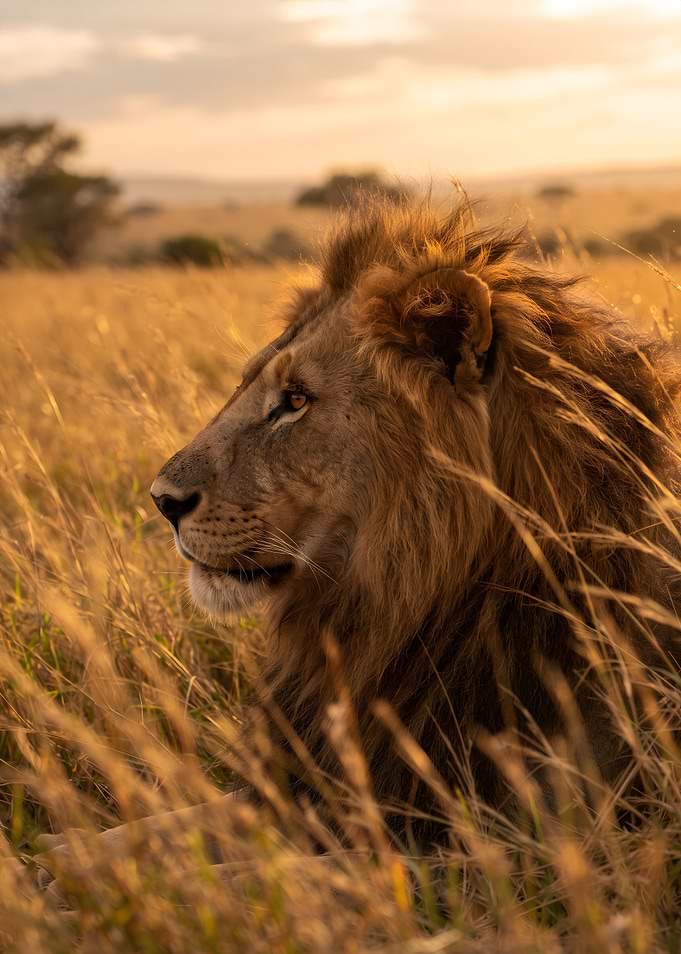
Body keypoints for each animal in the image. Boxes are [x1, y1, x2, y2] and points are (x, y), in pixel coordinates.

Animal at [36, 193, 681, 883]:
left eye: (295, 400)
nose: (161, 501)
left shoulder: (520, 849)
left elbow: (268, 876)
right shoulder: (313, 785)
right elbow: (177, 821)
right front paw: (57, 855)